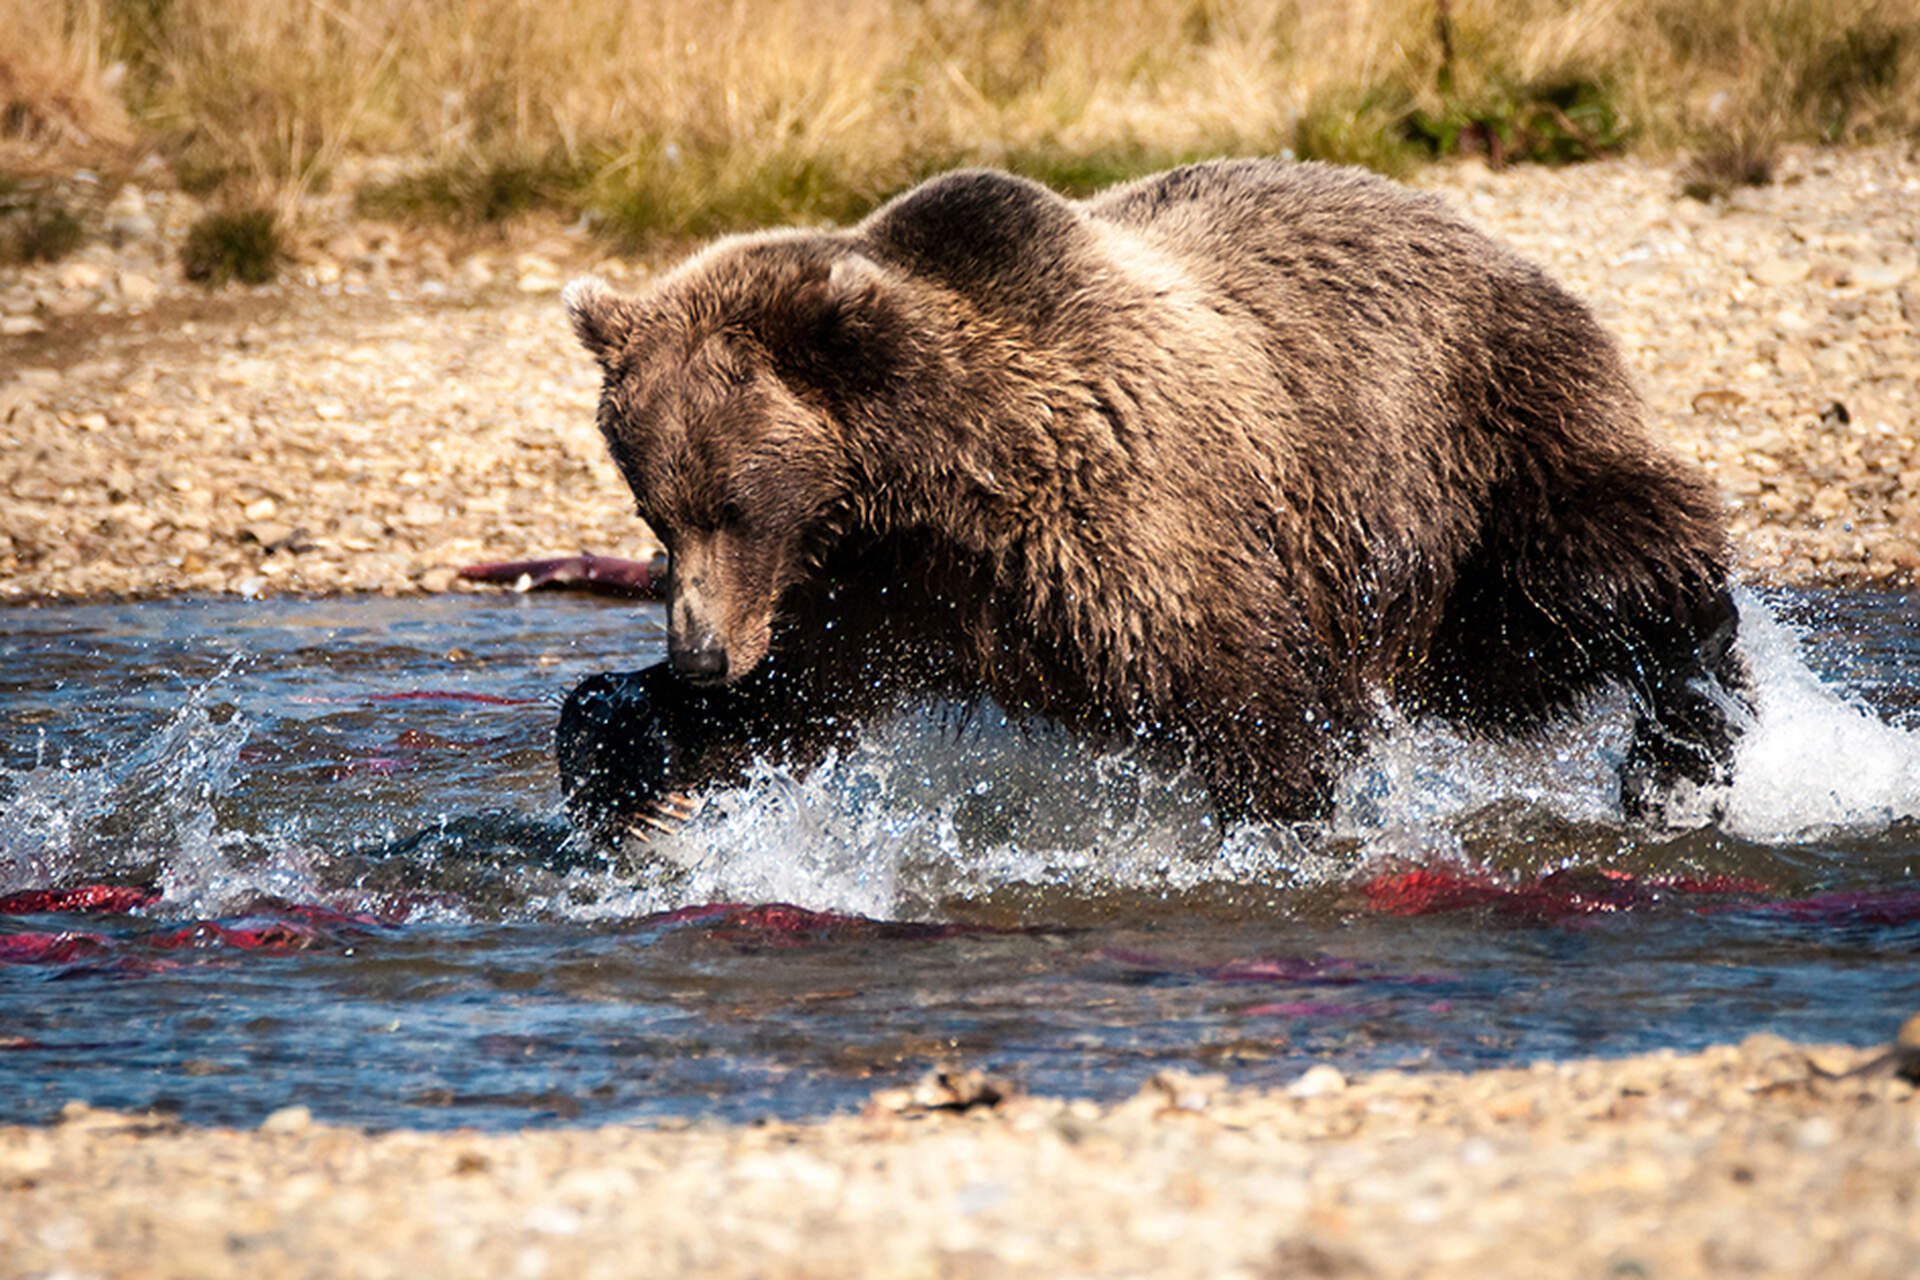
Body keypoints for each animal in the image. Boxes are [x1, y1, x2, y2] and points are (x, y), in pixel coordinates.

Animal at [552, 157, 1743, 840]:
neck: (945, 479)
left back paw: (1684, 750)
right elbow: (791, 699)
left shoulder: (1123, 522)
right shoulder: (888, 594)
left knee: (1597, 575)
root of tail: (1482, 230)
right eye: (657, 514)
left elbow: (1253, 696)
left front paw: (1285, 830)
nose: (700, 655)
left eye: (733, 503)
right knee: (1507, 666)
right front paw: (625, 766)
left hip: (1471, 439)